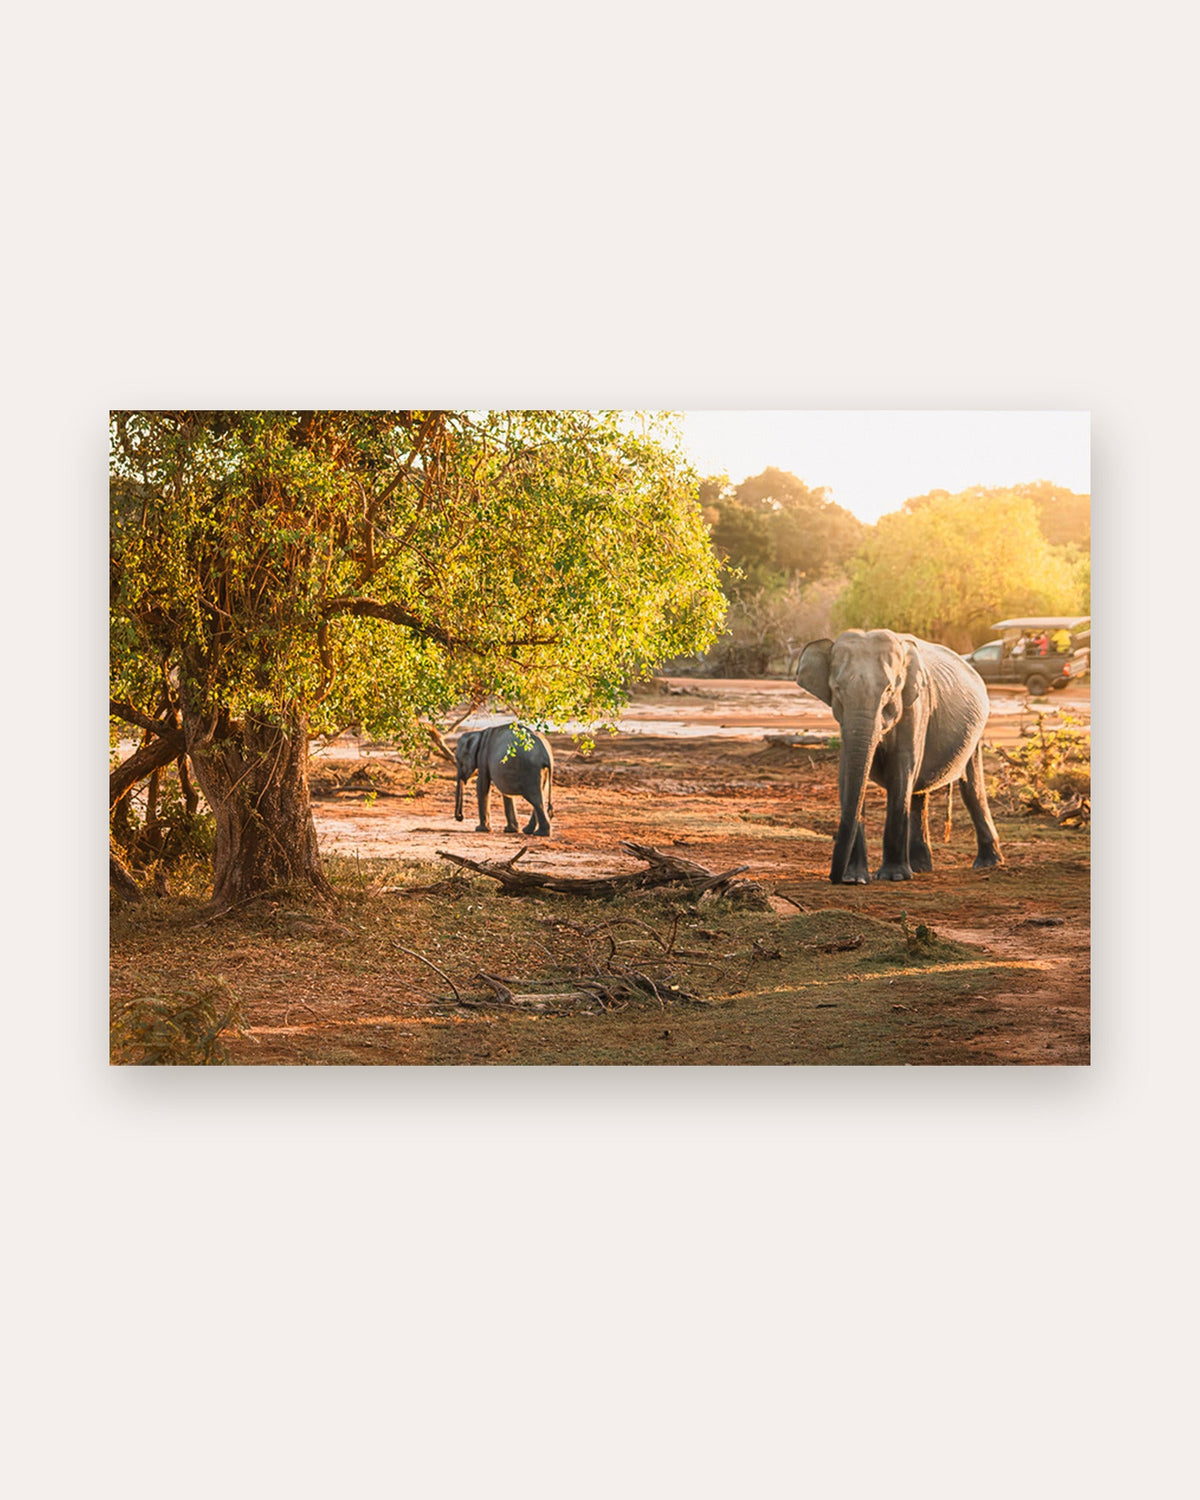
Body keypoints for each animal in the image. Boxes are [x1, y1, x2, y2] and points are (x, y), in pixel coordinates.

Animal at [797, 628, 1003, 884]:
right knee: (919, 793)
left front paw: (892, 877)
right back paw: (920, 866)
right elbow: (847, 773)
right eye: (837, 690)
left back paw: (987, 863)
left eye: (888, 690)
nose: (835, 878)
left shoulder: (915, 706)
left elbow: (901, 769)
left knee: (971, 788)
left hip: (975, 734)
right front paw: (855, 879)